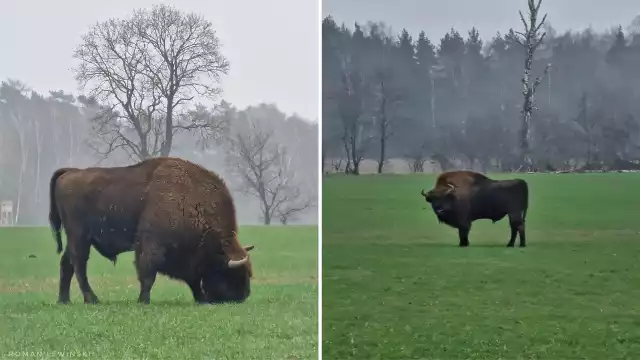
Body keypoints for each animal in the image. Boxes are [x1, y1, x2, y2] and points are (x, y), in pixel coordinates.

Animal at [48, 157, 254, 304]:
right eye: (232, 274)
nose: (242, 296)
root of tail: (70, 172)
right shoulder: (151, 246)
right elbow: (148, 274)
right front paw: (143, 301)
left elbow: (193, 279)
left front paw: (201, 299)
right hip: (80, 237)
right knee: (79, 265)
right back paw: (92, 299)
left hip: (76, 240)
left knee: (66, 263)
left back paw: (64, 300)